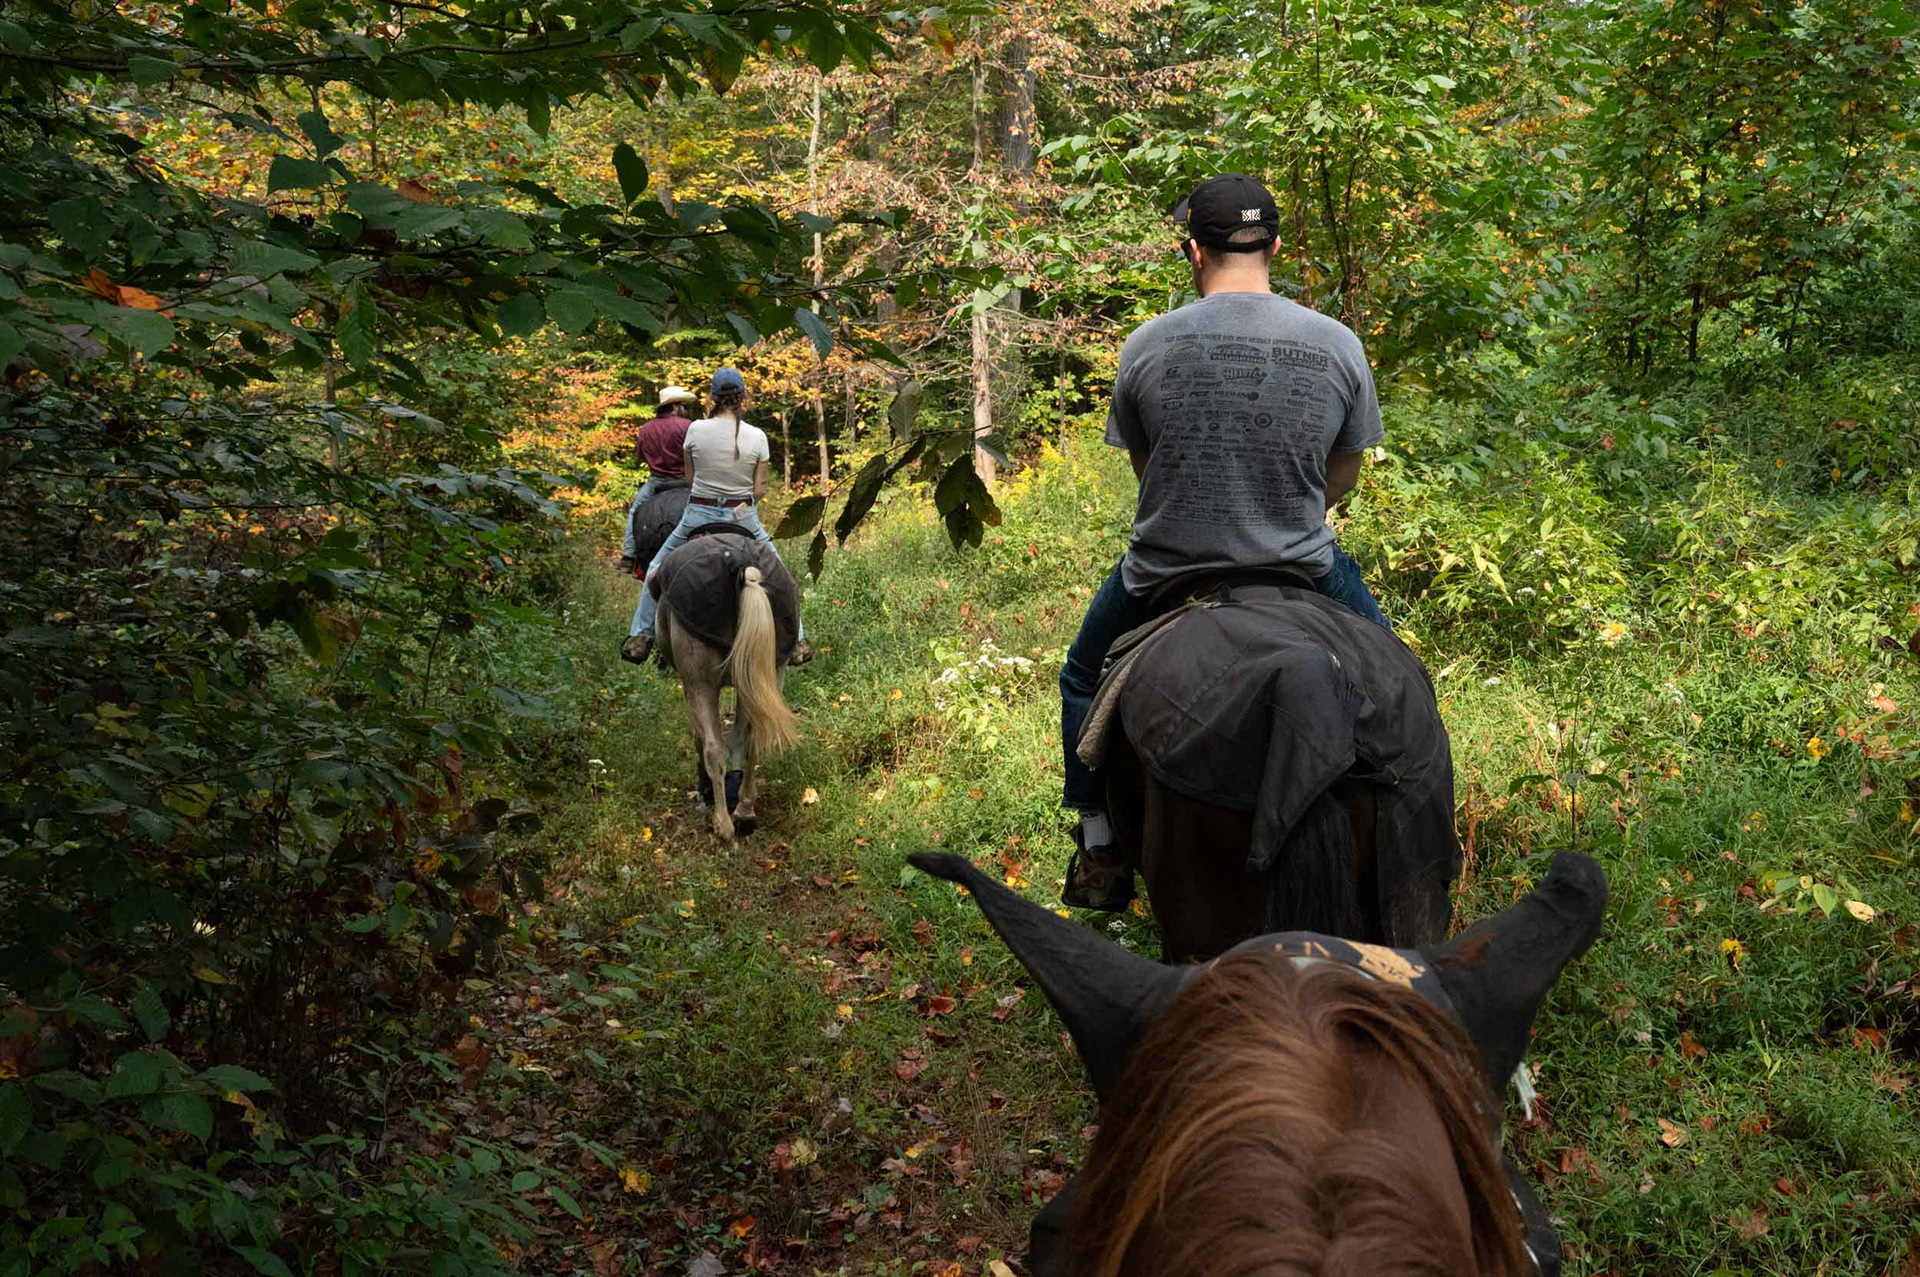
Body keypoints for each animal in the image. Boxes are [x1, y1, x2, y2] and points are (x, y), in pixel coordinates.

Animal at [650, 529, 801, 840]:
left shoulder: (691, 685)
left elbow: (702, 737)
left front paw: (705, 788)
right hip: (771, 671)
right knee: (755, 741)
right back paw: (744, 811)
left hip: (701, 683)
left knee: (713, 747)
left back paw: (723, 824)